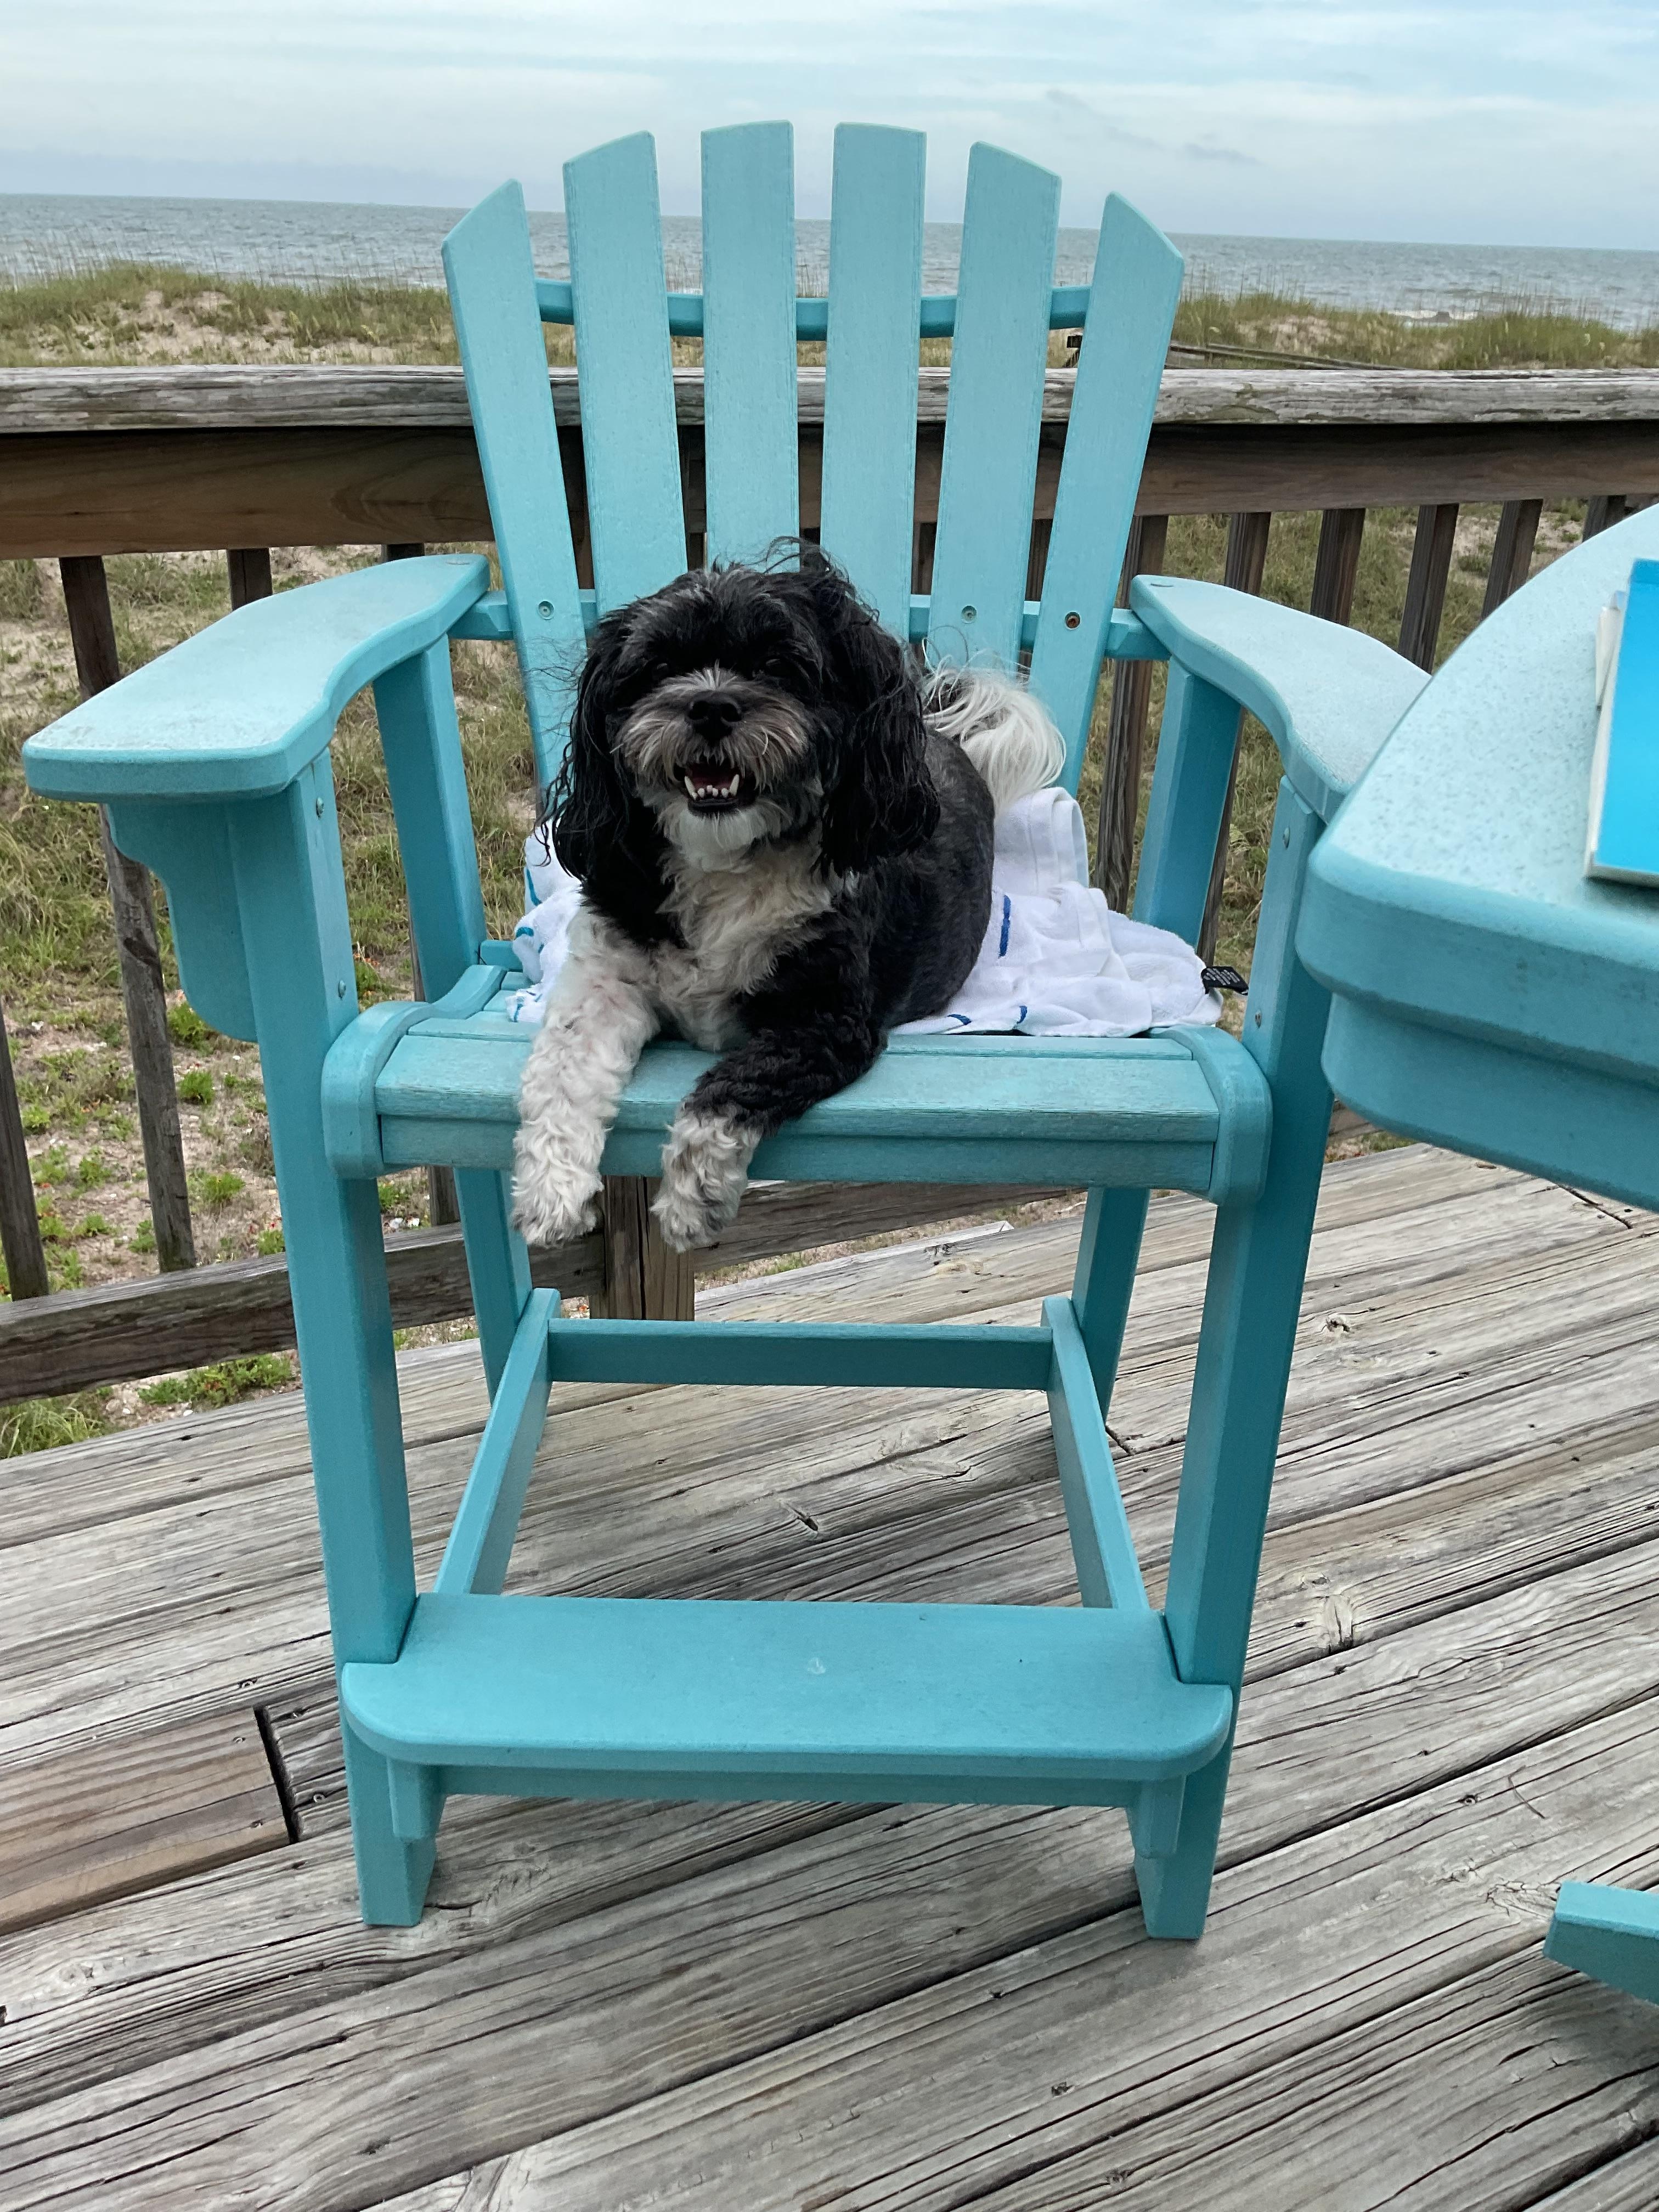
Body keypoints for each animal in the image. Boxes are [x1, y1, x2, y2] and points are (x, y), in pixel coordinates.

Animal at [511, 549, 1064, 1253]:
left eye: (778, 666)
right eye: (659, 667)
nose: (711, 705)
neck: (725, 862)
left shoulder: (827, 1024)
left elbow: (732, 1089)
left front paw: (693, 1198)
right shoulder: (606, 977)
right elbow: (561, 1066)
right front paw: (549, 1194)